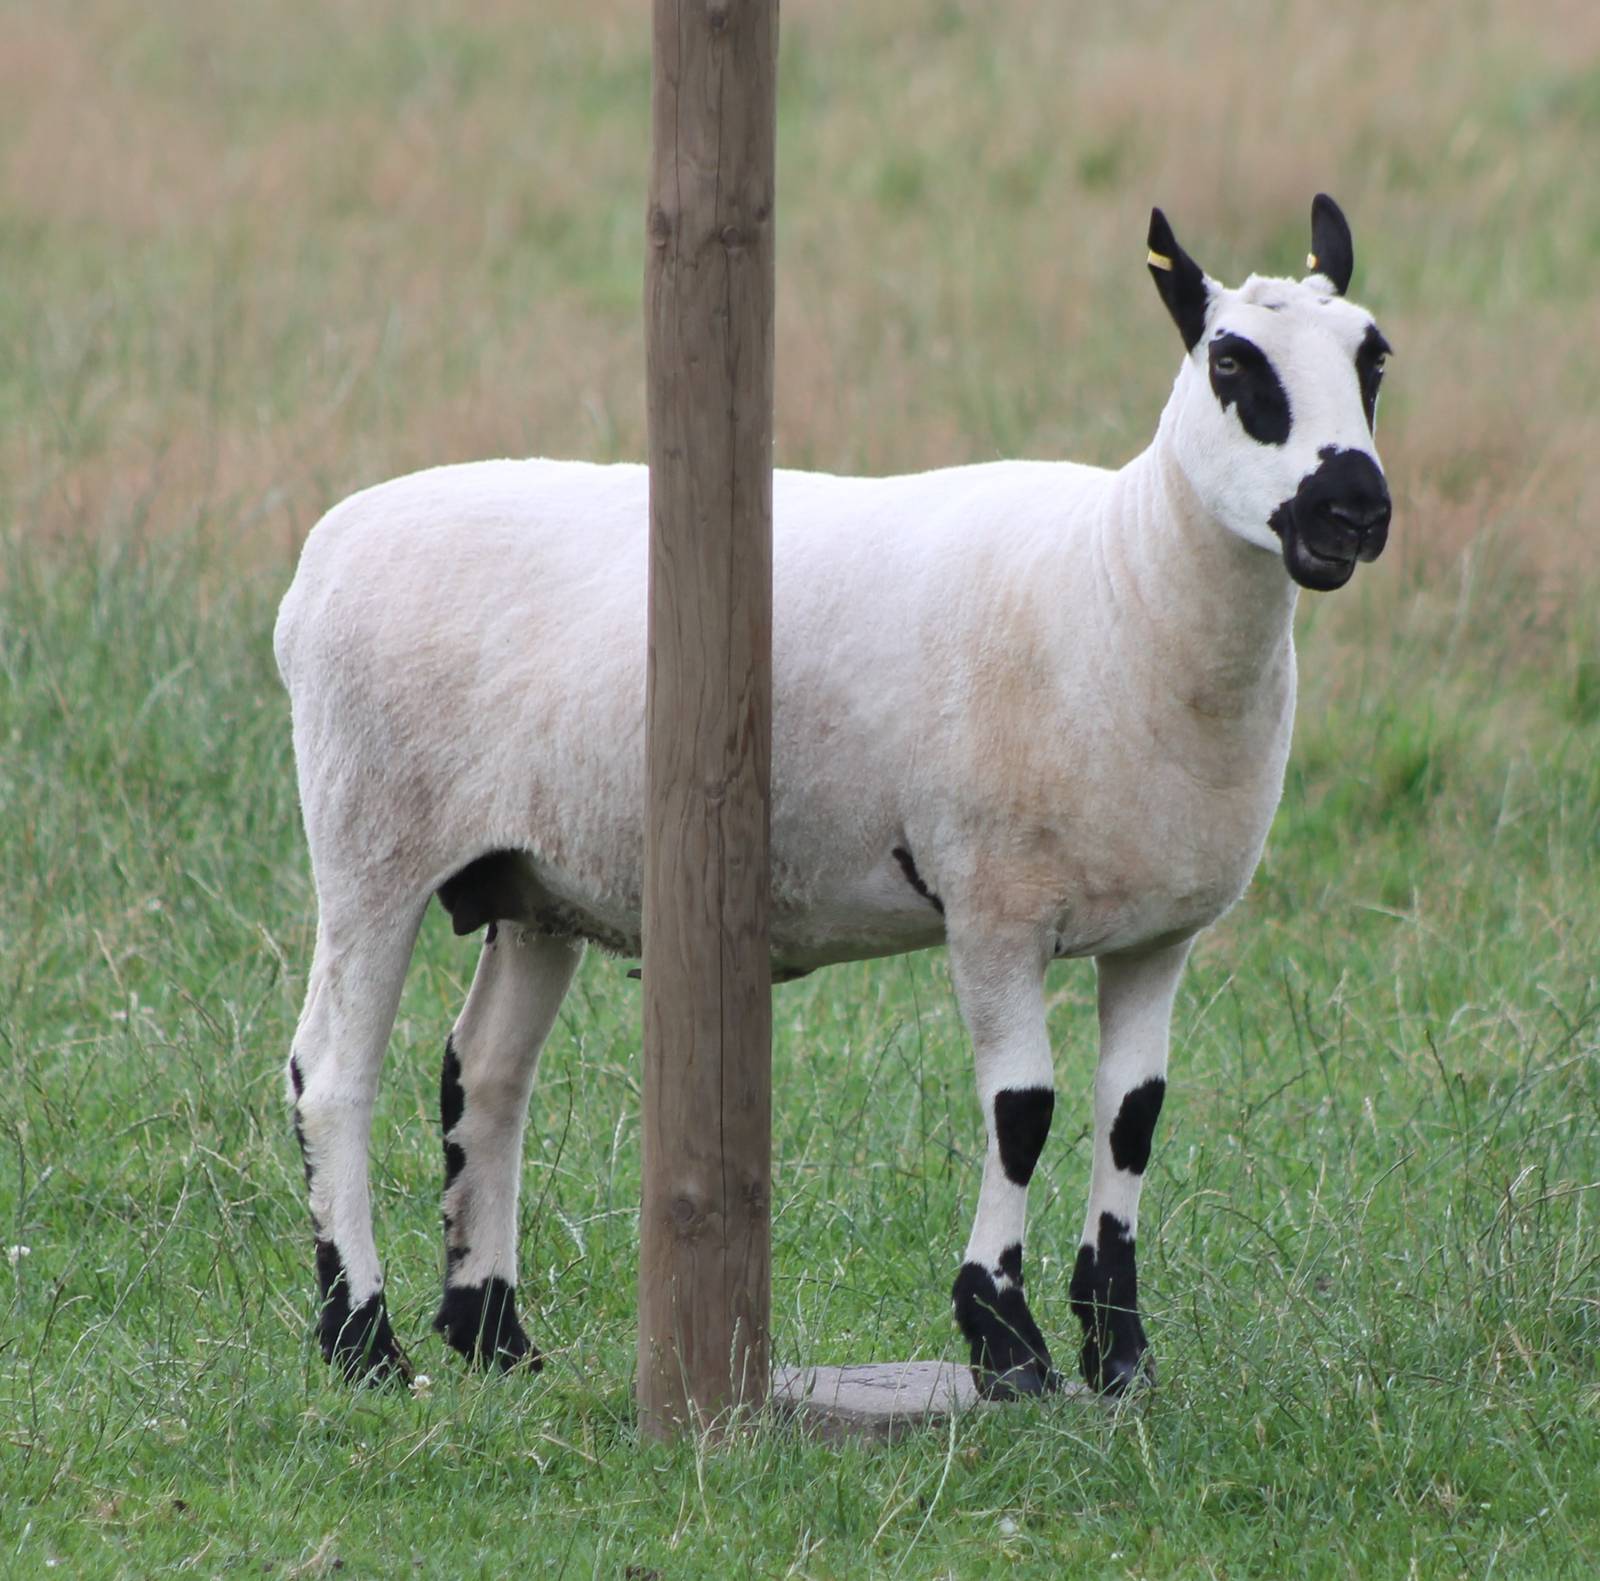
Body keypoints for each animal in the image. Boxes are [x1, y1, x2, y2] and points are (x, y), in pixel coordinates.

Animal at [275, 194, 1392, 1397]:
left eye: (1374, 356)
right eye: (1231, 362)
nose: (1353, 509)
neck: (1122, 579)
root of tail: (322, 554)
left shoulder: (1158, 933)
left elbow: (1130, 1119)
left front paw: (1120, 1352)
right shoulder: (990, 907)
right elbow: (1023, 1113)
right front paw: (1007, 1340)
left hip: (534, 879)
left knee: (483, 1076)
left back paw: (492, 1334)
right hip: (372, 836)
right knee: (331, 1074)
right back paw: (362, 1341)